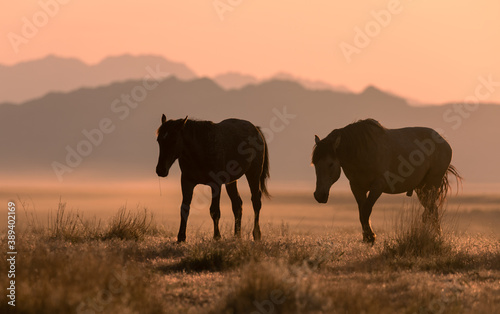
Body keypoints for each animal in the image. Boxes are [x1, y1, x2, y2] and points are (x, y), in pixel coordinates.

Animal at [155, 114, 270, 242]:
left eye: (174, 140)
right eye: (159, 140)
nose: (160, 170)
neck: (201, 149)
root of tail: (256, 130)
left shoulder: (215, 184)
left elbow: (214, 211)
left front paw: (217, 237)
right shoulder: (187, 182)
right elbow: (184, 209)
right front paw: (181, 237)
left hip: (253, 174)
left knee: (256, 201)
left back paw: (256, 235)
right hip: (231, 181)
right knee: (237, 205)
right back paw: (237, 236)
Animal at [312, 119, 460, 244]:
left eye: (331, 164)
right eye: (314, 163)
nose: (319, 195)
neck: (361, 152)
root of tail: (444, 142)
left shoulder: (377, 186)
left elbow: (366, 210)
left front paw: (371, 237)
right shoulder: (357, 187)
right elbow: (361, 212)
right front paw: (367, 237)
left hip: (431, 185)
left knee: (431, 210)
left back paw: (435, 236)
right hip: (421, 188)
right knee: (432, 210)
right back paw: (435, 235)